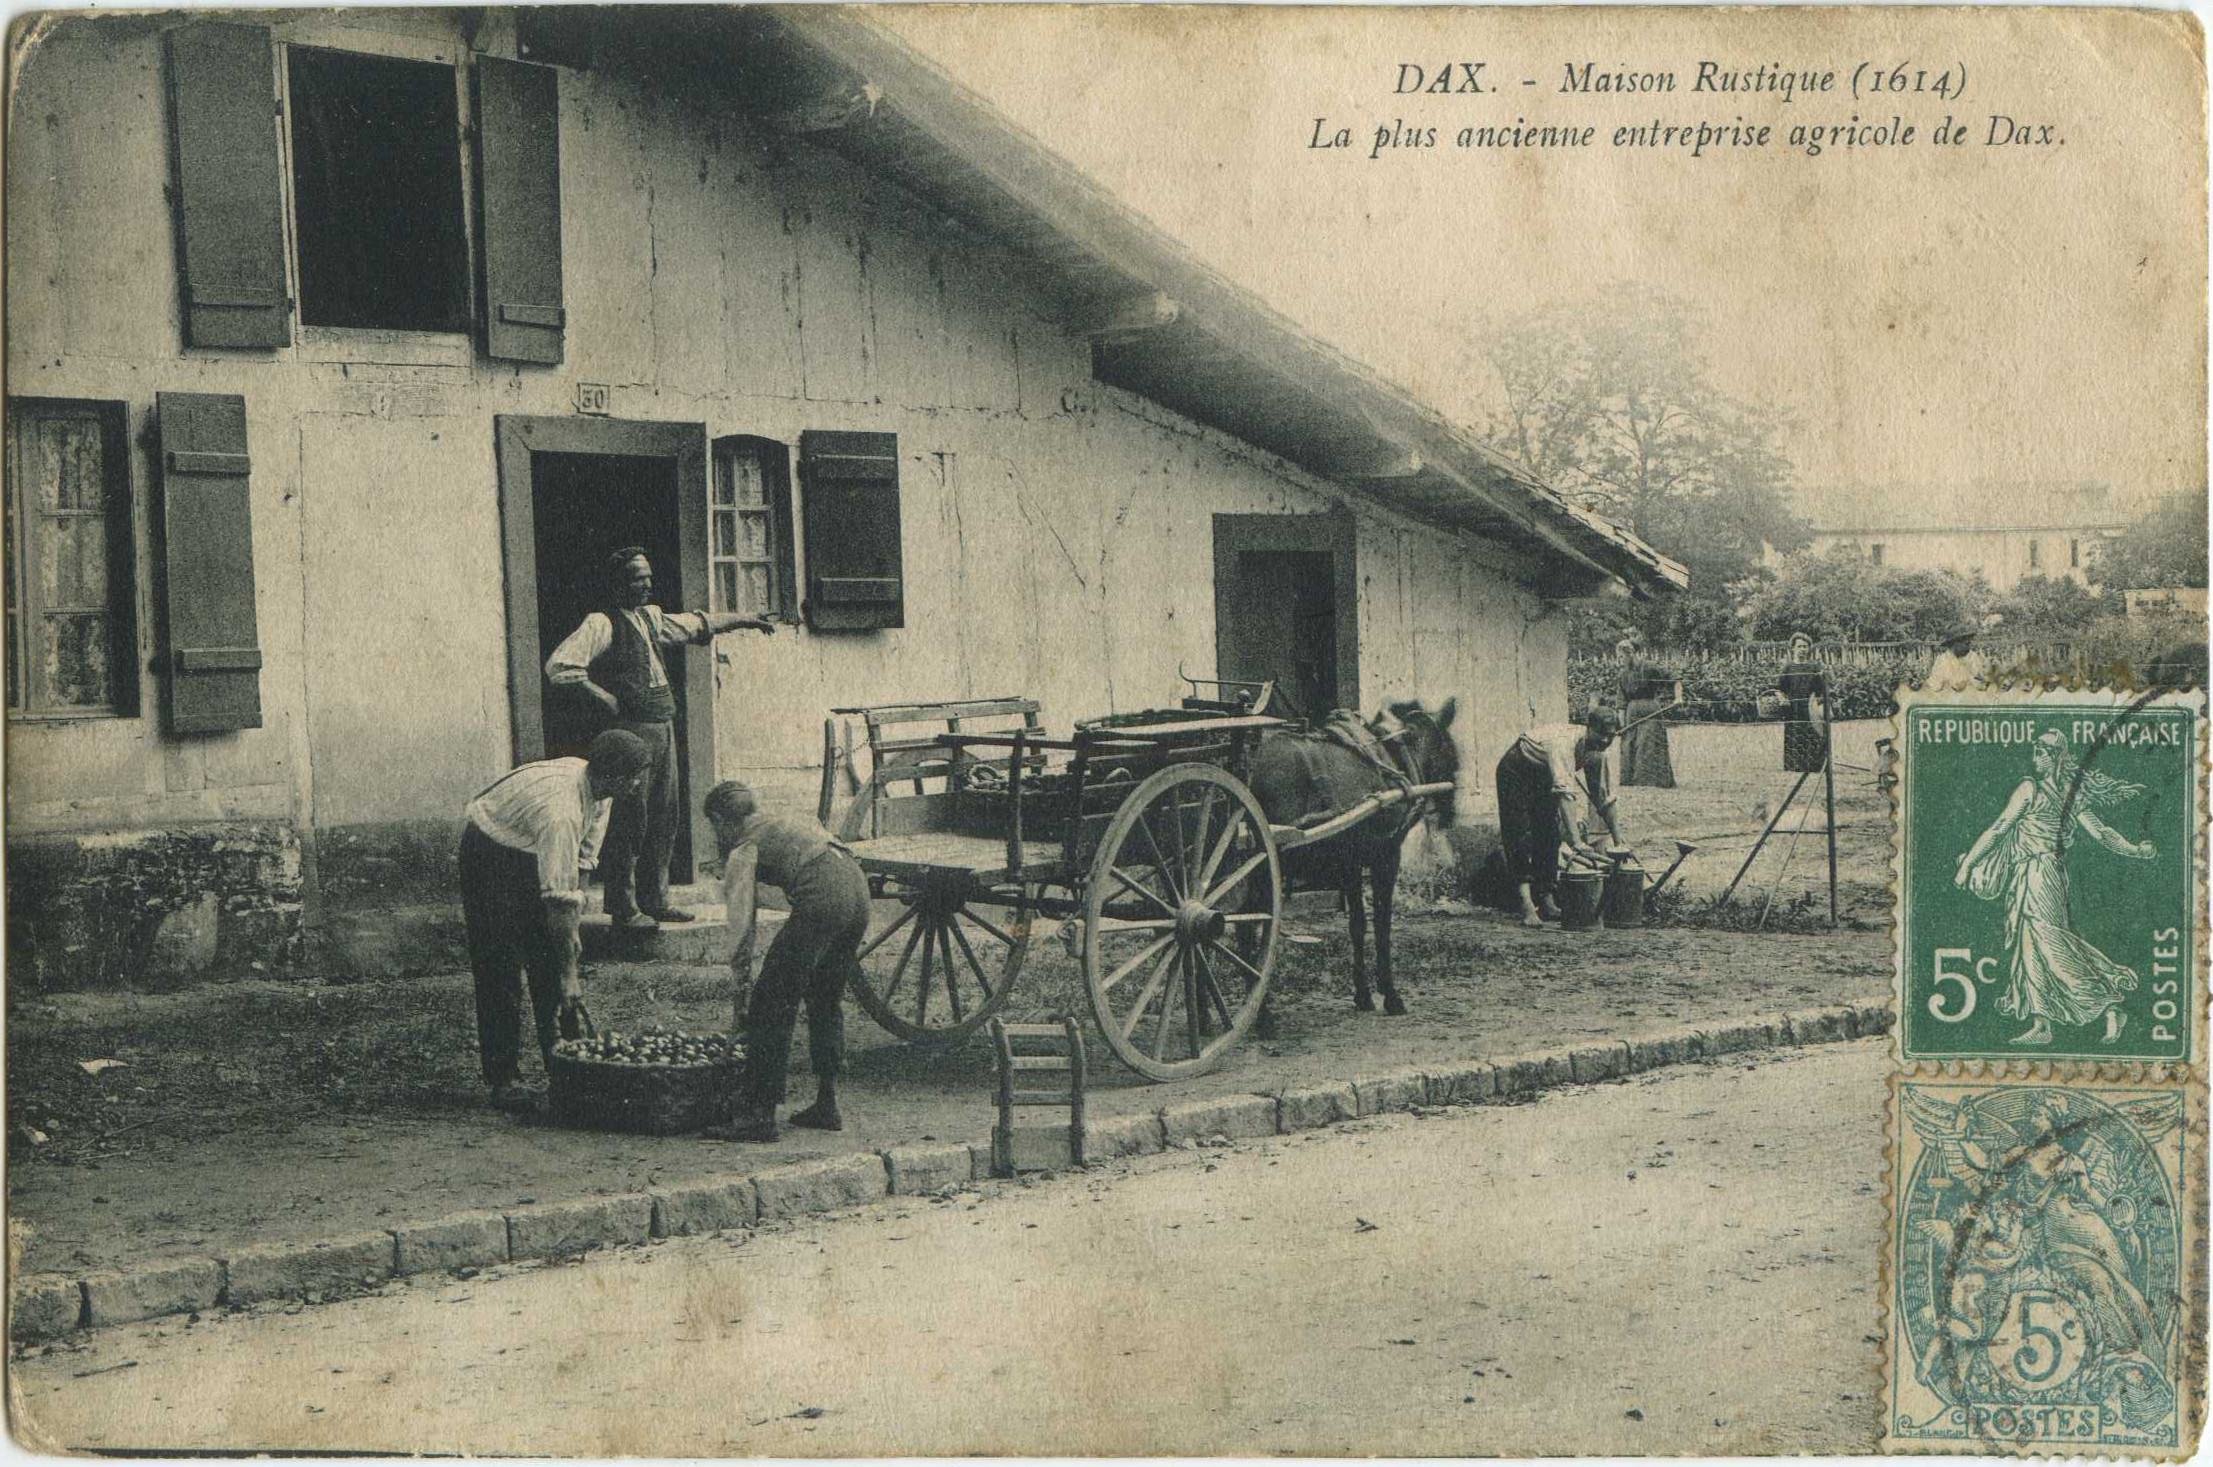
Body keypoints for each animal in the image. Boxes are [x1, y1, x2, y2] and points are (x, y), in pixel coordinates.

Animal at [1248, 699, 1469, 1022]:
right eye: (1450, 751)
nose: (1451, 813)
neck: (1395, 756)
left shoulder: (1350, 864)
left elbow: (1357, 926)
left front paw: (1363, 994)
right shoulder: (1387, 856)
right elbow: (1382, 924)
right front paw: (1390, 995)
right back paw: (1260, 1011)